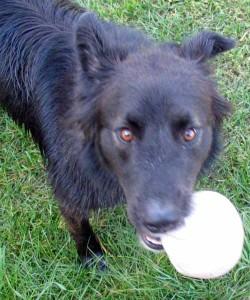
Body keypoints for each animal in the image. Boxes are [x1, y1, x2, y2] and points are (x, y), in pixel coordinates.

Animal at [0, 0, 235, 268]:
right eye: (125, 133)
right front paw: (91, 256)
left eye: (189, 133)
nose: (161, 222)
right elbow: (79, 225)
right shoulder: (69, 189)